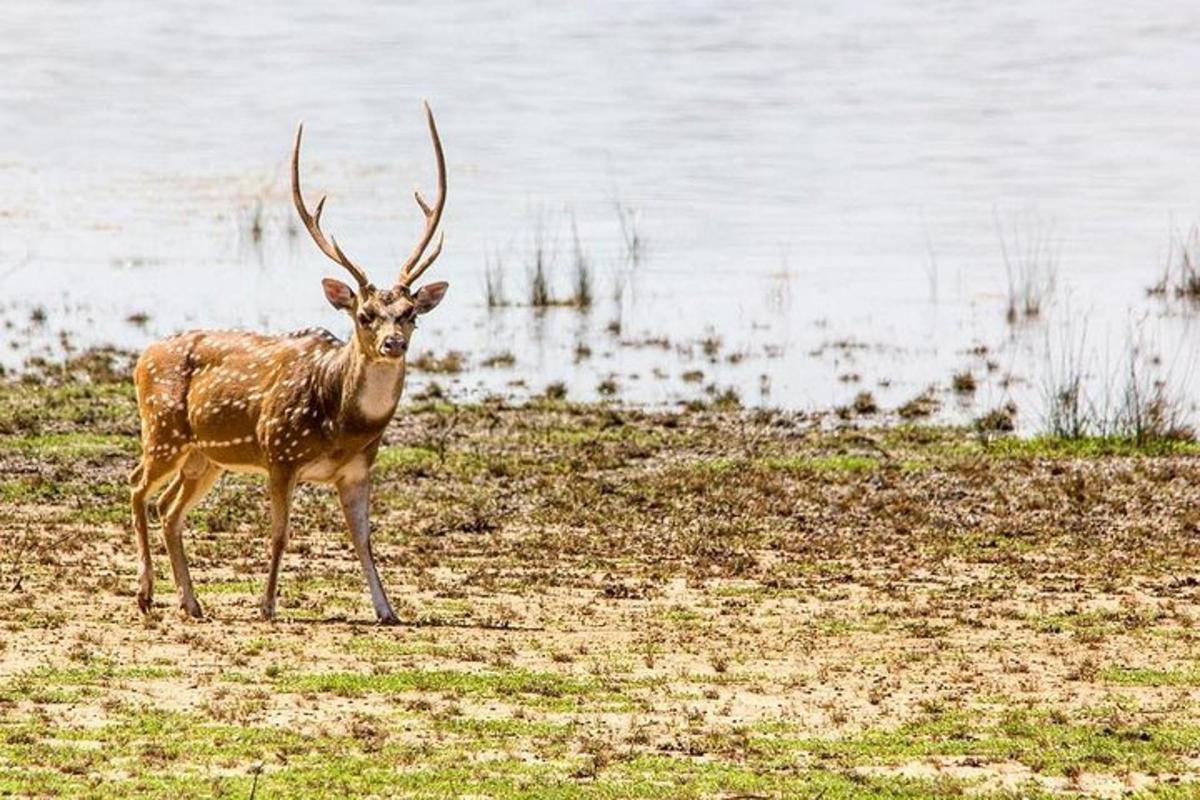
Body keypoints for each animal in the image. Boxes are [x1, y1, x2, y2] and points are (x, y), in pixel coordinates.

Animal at [130, 101, 451, 623]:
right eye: (364, 314)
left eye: (410, 314)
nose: (392, 344)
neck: (342, 426)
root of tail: (142, 357)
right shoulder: (279, 452)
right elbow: (280, 534)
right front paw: (266, 605)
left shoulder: (358, 469)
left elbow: (364, 539)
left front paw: (387, 609)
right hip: (163, 431)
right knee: (138, 486)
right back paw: (145, 593)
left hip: (206, 456)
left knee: (169, 508)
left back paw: (192, 602)